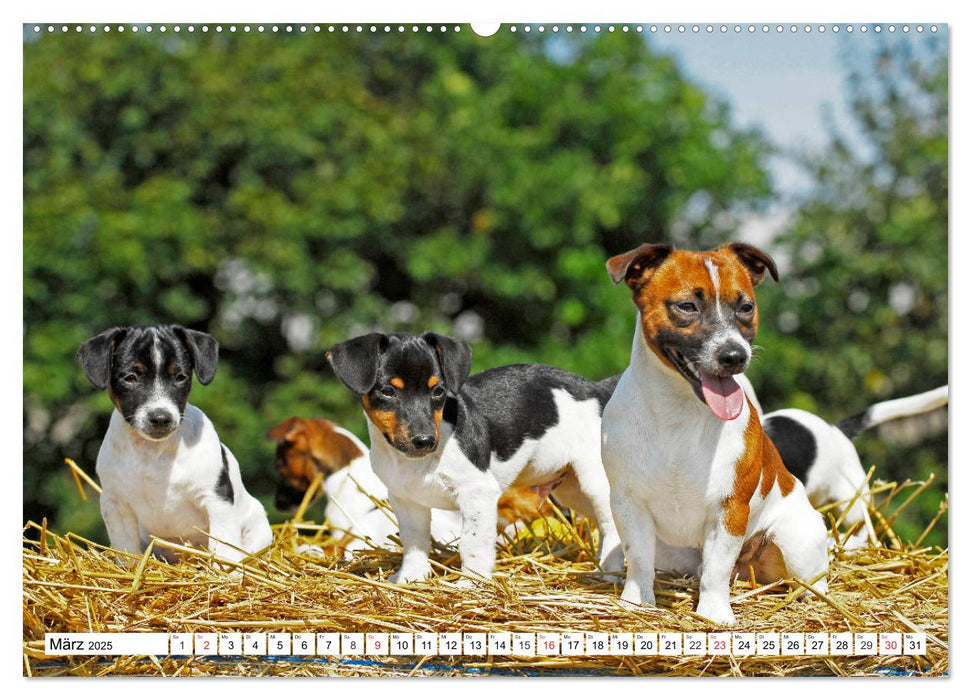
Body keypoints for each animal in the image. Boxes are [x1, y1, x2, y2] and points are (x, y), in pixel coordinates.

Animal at [76, 326, 272, 568]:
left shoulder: (217, 500)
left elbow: (223, 544)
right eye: (131, 377)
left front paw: (228, 571)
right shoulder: (115, 505)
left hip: (258, 527)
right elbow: (126, 549)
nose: (161, 417)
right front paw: (130, 570)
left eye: (180, 377)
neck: (153, 451)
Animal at [322, 334, 620, 584]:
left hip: (594, 481)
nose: (425, 441)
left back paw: (610, 575)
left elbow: (472, 543)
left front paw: (471, 583)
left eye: (438, 391)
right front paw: (411, 577)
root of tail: (598, 390)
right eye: (387, 391)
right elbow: (415, 543)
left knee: (611, 525)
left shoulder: (478, 494)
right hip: (572, 489)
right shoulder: (406, 501)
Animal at [600, 243, 828, 628]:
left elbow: (717, 569)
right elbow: (639, 560)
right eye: (686, 306)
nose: (734, 355)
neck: (679, 411)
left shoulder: (729, 509)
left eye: (746, 307)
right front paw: (637, 603)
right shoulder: (628, 503)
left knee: (810, 582)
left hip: (795, 542)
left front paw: (714, 614)